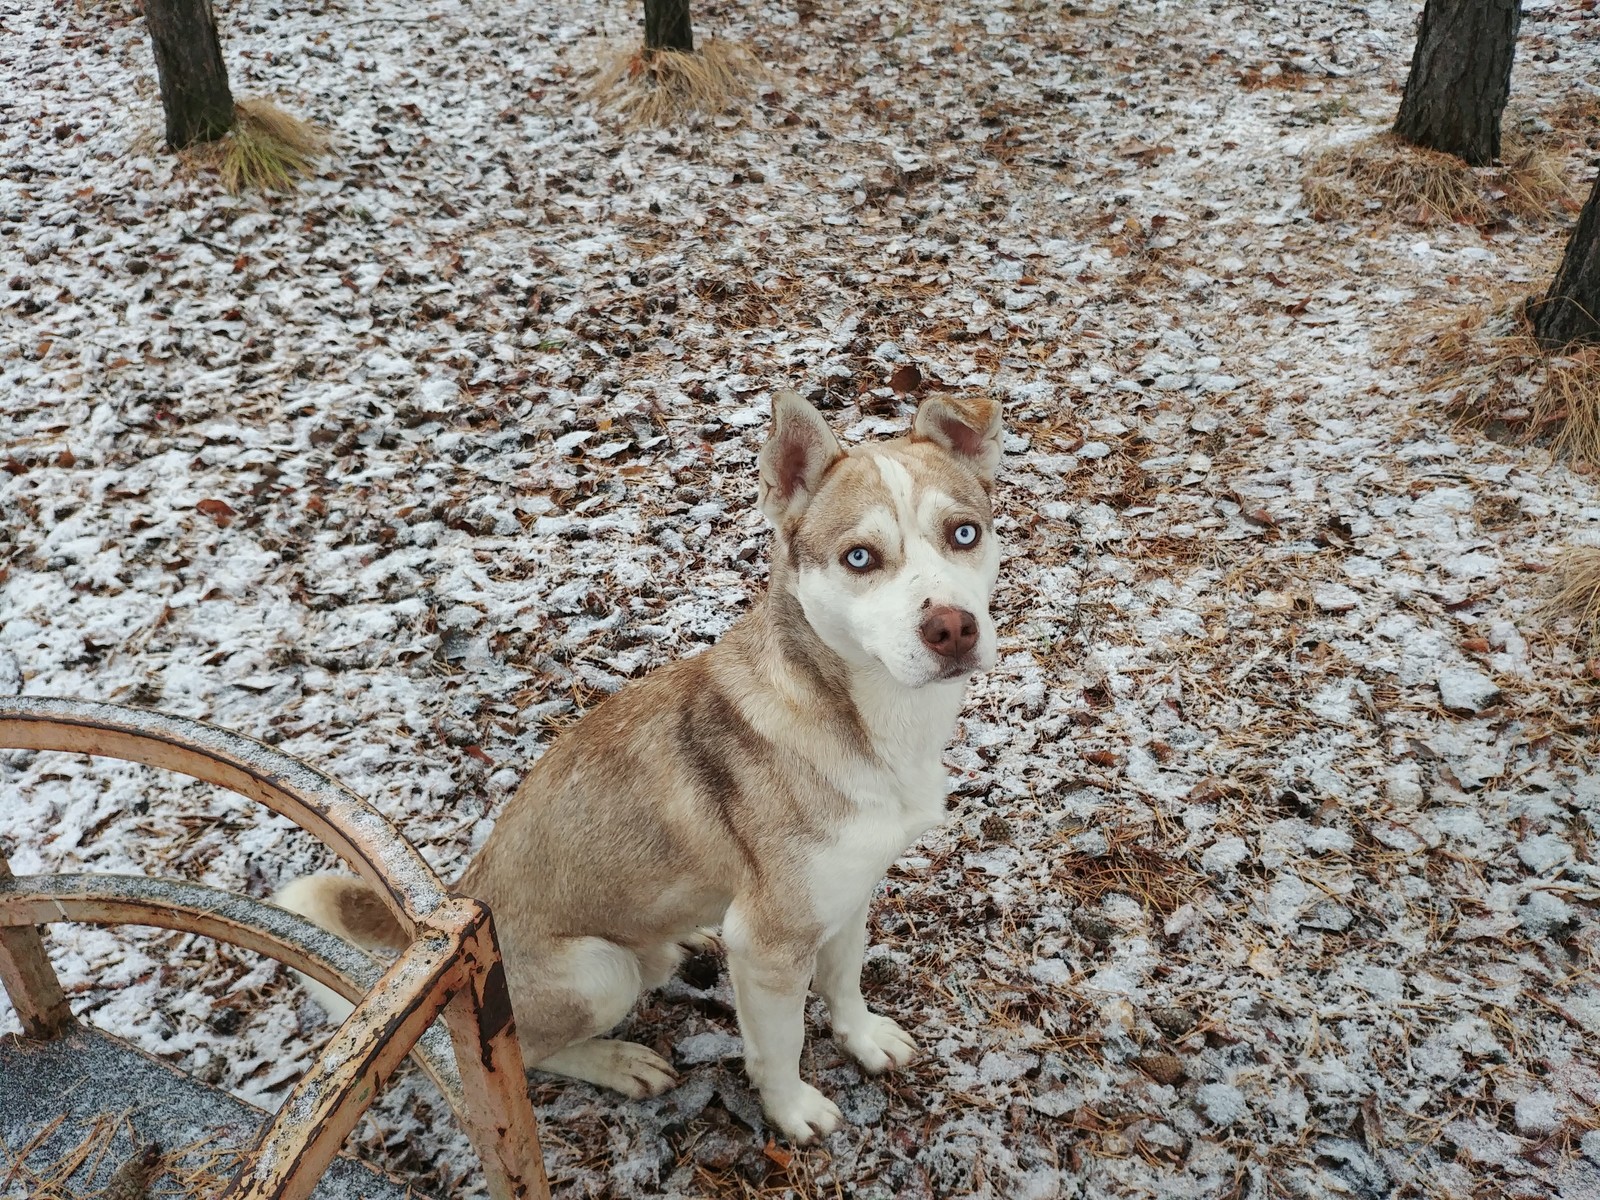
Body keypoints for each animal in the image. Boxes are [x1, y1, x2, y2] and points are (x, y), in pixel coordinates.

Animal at [275, 387, 998, 1145]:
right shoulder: (770, 944)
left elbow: (845, 982)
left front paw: (863, 1039)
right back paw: (619, 1062)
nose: (952, 628)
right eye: (860, 557)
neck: (861, 716)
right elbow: (781, 1045)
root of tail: (457, 893)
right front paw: (792, 1110)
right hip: (598, 972)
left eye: (963, 534)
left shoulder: (848, 895)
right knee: (524, 1053)